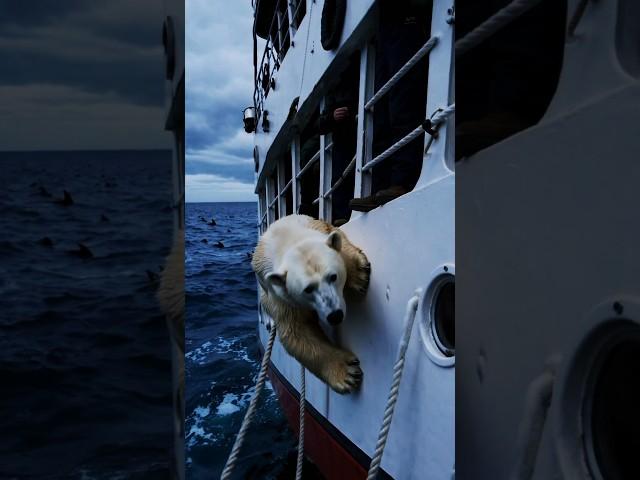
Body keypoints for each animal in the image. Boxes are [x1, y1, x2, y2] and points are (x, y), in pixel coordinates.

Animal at [250, 215, 370, 394]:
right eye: (307, 289)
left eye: (333, 276)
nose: (335, 316)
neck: (288, 238)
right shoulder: (282, 296)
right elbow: (298, 333)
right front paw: (347, 372)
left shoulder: (318, 225)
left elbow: (338, 240)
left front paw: (359, 273)